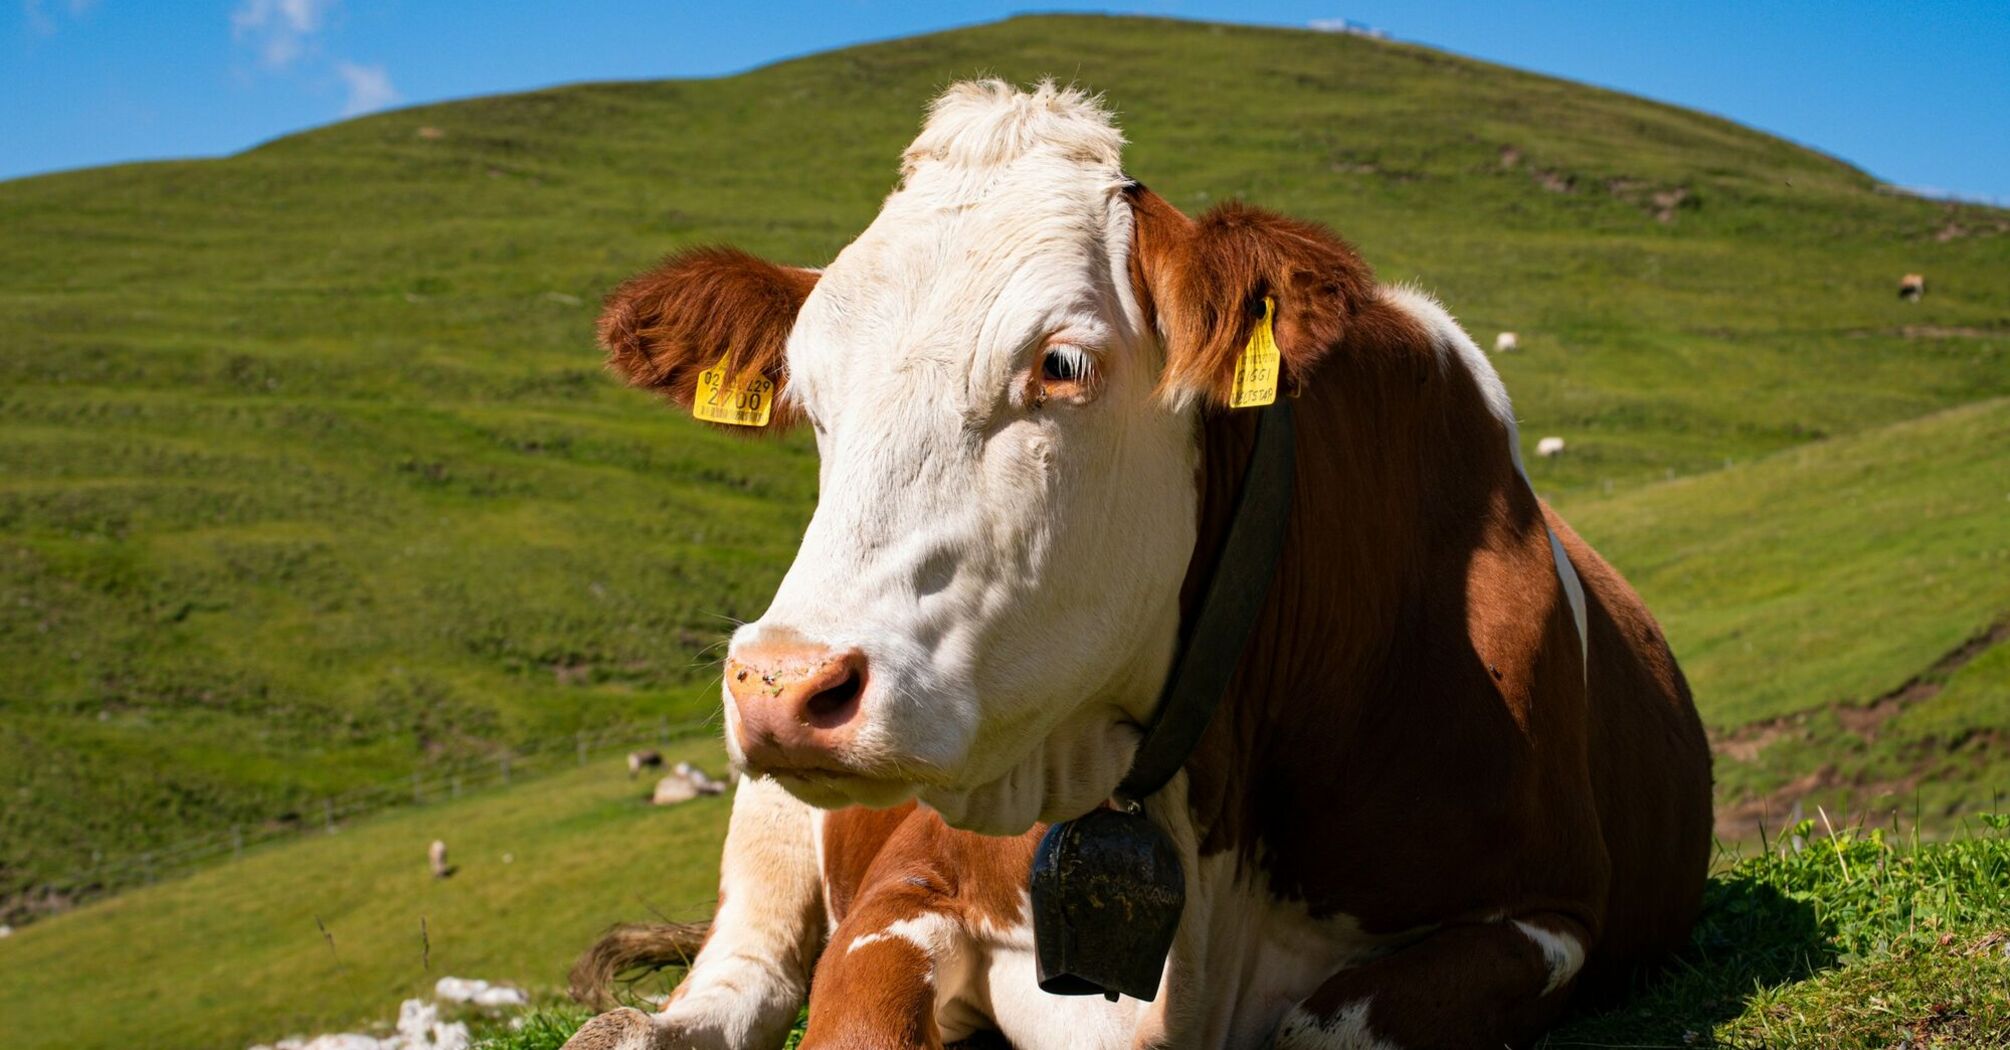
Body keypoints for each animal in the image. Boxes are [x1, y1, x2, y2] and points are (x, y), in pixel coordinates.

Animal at [565, 81, 1710, 1050]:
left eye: (1062, 363)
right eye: (808, 390)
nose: (782, 684)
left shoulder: (1546, 914)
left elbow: (1324, 1025)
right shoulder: (906, 885)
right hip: (770, 818)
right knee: (744, 964)